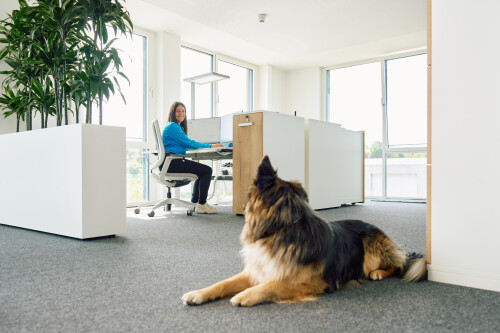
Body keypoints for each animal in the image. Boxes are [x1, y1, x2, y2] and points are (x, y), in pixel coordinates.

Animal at [182, 156, 428, 306]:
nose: (241, 205)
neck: (281, 229)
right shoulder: (258, 269)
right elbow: (223, 283)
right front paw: (198, 293)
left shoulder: (313, 282)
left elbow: (272, 284)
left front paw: (245, 295)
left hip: (371, 242)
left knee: (397, 265)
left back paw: (378, 272)